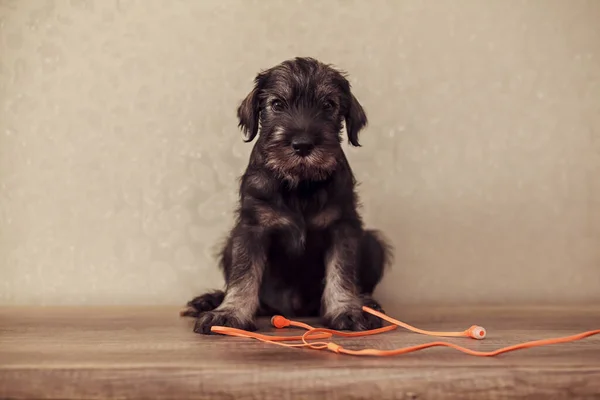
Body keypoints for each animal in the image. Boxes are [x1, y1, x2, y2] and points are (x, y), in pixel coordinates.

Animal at [180, 54, 392, 332]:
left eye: (328, 104)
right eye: (277, 104)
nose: (302, 145)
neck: (299, 183)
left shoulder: (342, 227)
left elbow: (342, 271)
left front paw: (347, 309)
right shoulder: (251, 229)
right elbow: (243, 274)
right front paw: (229, 313)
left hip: (372, 243)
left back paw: (367, 302)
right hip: (228, 245)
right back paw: (209, 300)